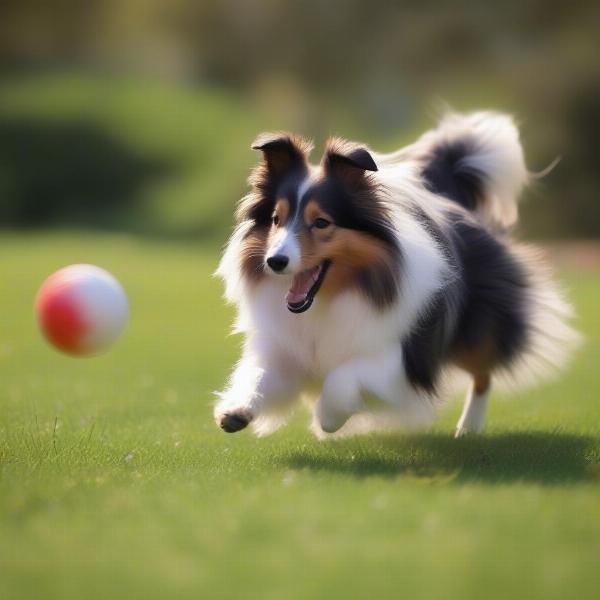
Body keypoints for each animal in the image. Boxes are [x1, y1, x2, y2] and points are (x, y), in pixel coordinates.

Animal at [213, 112, 580, 438]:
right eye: (276, 219)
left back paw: (469, 428)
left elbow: (342, 379)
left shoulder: (399, 359)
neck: (330, 299)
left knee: (483, 372)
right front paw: (236, 410)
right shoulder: (284, 348)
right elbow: (257, 374)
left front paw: (326, 420)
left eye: (321, 222)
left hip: (476, 328)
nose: (275, 261)